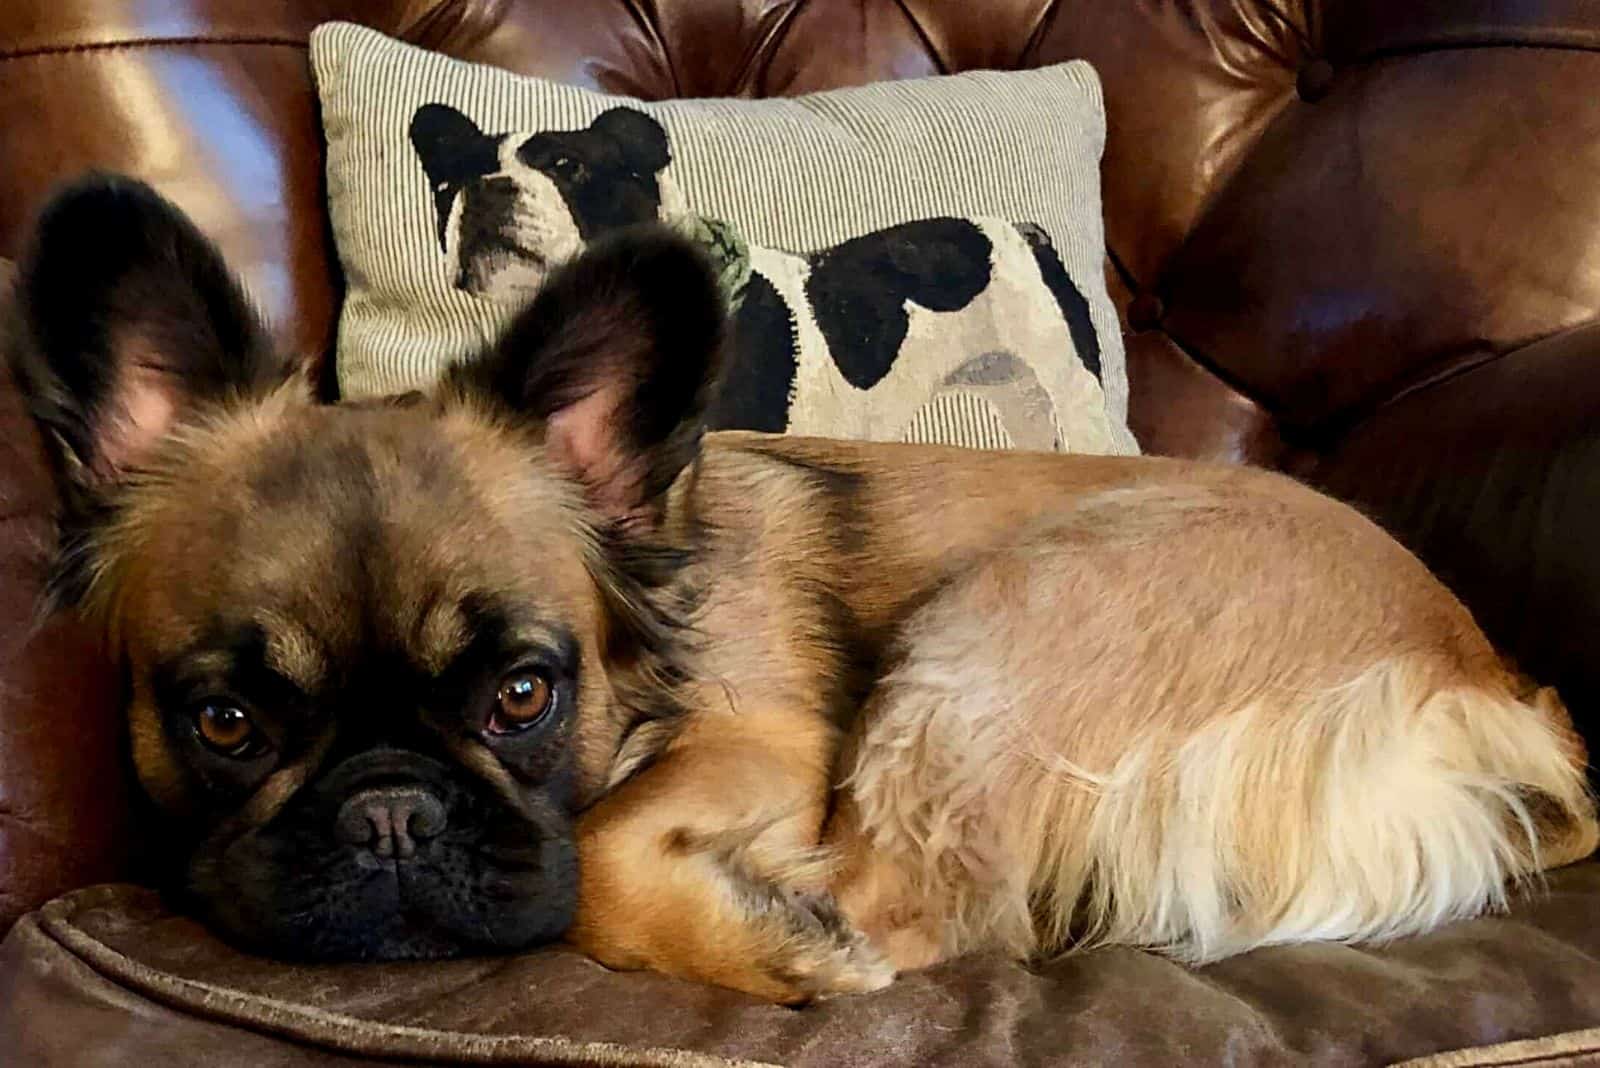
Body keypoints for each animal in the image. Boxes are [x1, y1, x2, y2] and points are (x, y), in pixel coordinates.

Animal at [9, 173, 1587, 1004]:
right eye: (223, 725)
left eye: (523, 696)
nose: (390, 811)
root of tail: (1475, 685)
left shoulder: (762, 739)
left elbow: (604, 860)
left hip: (997, 625)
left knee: (924, 910)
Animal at [412, 103, 1113, 447]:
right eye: (446, 186)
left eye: (568, 166)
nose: (487, 186)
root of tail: (1023, 231)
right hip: (1022, 400)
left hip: (1070, 388)